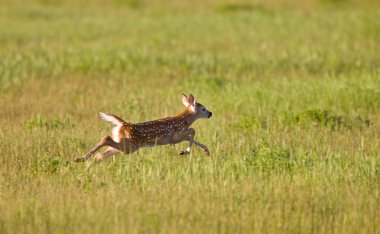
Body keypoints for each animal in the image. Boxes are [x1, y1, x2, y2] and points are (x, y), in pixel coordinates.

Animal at [74, 93, 211, 163]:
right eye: (203, 109)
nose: (211, 113)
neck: (185, 120)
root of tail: (122, 124)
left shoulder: (179, 136)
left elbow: (191, 137)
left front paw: (206, 151)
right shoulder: (175, 136)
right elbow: (192, 131)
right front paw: (185, 152)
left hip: (123, 145)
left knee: (100, 155)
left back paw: (83, 163)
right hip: (130, 145)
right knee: (106, 138)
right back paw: (80, 159)